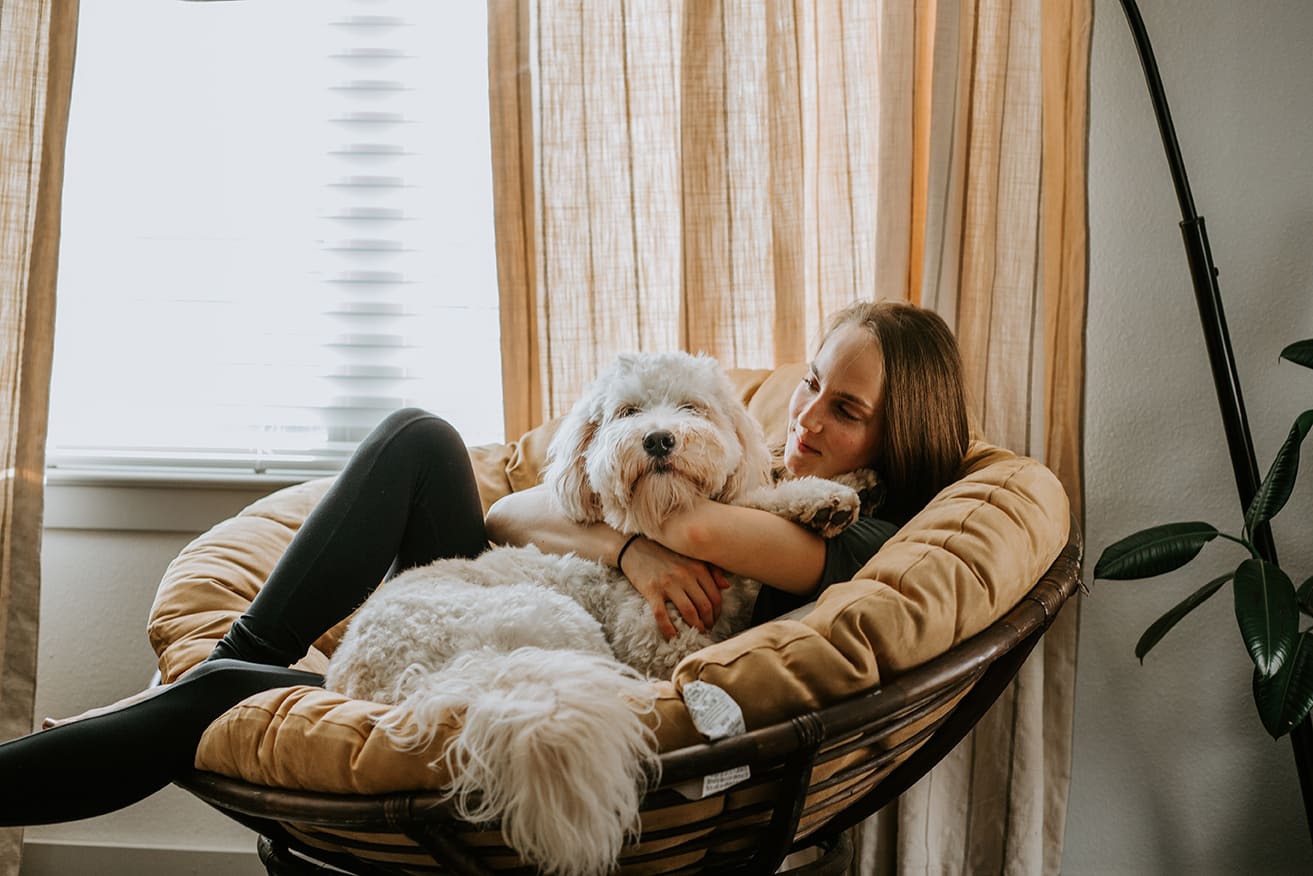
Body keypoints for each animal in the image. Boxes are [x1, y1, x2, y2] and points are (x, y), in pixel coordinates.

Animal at [322, 351, 866, 876]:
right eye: (627, 412)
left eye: (692, 408)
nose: (659, 440)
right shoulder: (661, 647)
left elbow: (751, 504)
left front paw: (825, 498)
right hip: (560, 623)